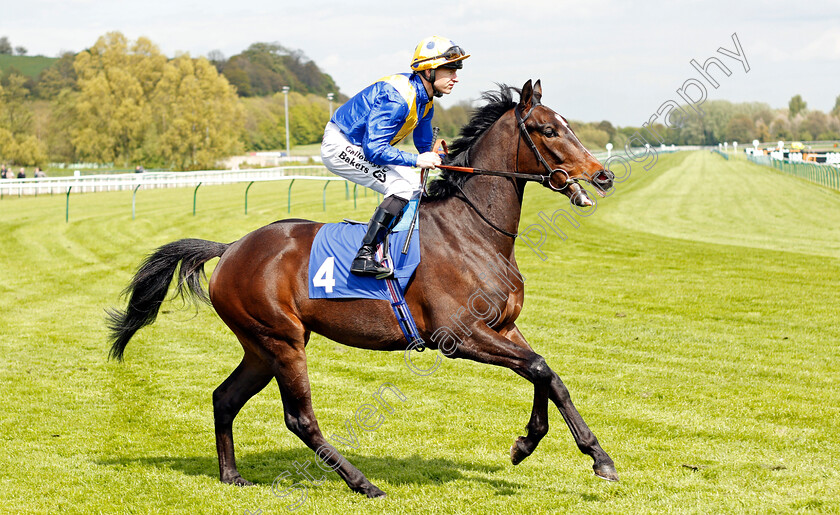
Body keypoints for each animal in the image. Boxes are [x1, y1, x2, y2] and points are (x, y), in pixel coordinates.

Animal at [110, 79, 616, 496]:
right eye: (548, 130)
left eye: (568, 125)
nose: (603, 175)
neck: (473, 231)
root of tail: (231, 246)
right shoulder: (458, 335)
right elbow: (539, 368)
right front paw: (563, 450)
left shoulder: (504, 327)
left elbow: (547, 374)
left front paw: (564, 450)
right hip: (282, 340)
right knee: (300, 419)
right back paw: (363, 483)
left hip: (260, 345)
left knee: (225, 398)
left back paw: (232, 475)